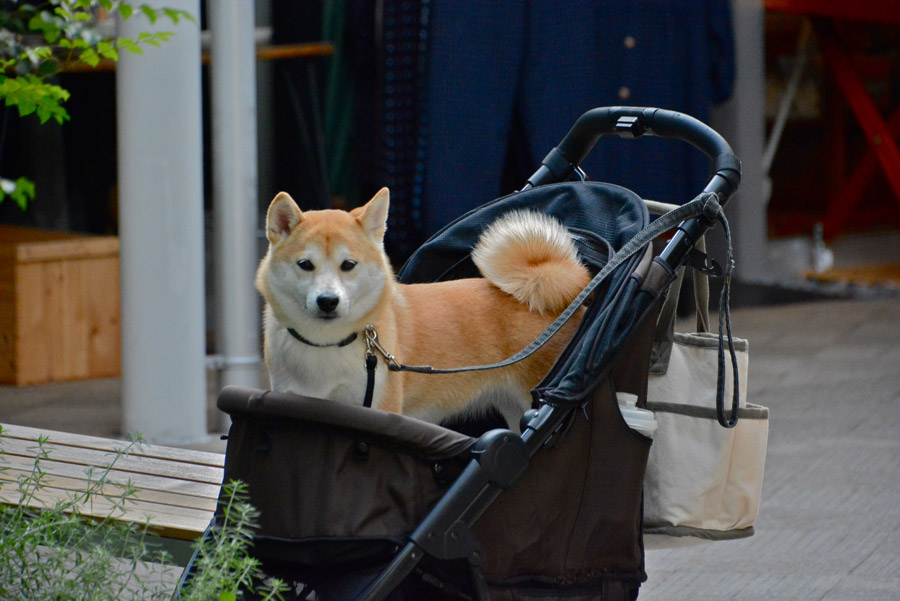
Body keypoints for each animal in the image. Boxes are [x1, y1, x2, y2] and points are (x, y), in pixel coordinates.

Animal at [253, 188, 592, 426]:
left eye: (348, 265)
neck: (327, 346)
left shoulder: (377, 408)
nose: (327, 301)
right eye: (305, 265)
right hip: (513, 412)